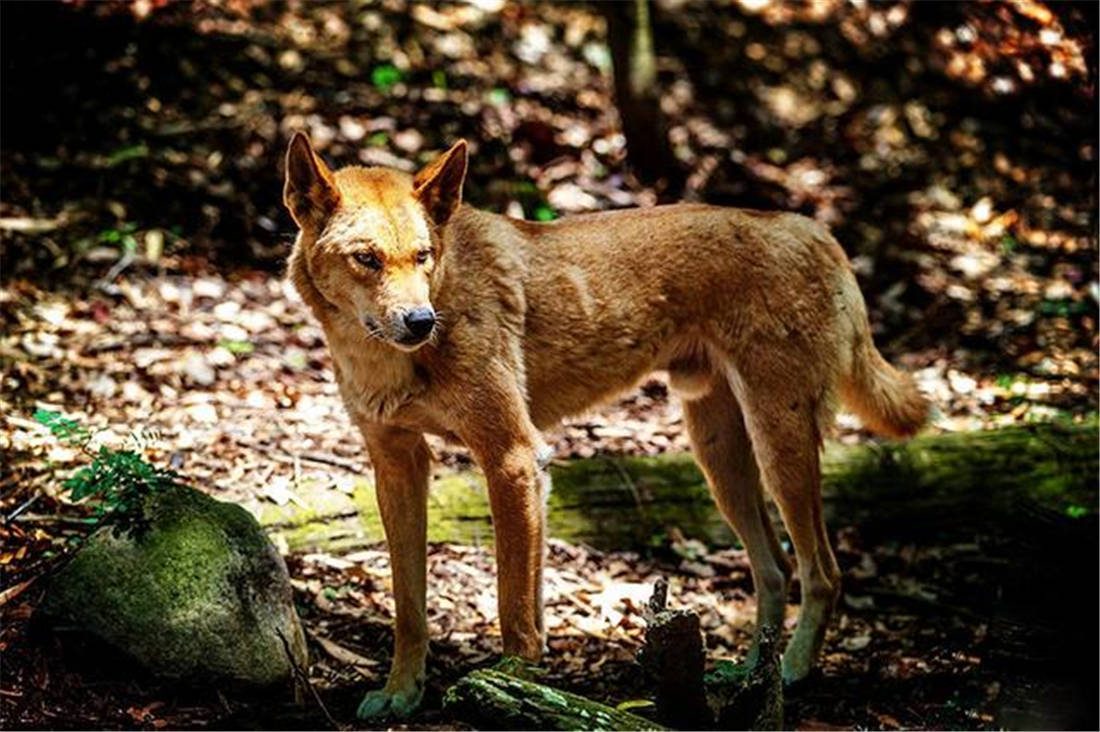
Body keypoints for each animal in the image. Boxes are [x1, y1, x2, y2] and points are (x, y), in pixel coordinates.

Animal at [281, 132, 928, 717]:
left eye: (423, 257)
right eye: (366, 258)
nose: (420, 321)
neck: (391, 357)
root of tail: (812, 230)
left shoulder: (513, 458)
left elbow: (514, 610)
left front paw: (512, 689)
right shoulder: (399, 464)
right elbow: (410, 606)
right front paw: (402, 692)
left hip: (778, 447)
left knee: (824, 572)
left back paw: (792, 672)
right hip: (721, 458)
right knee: (775, 569)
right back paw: (750, 676)